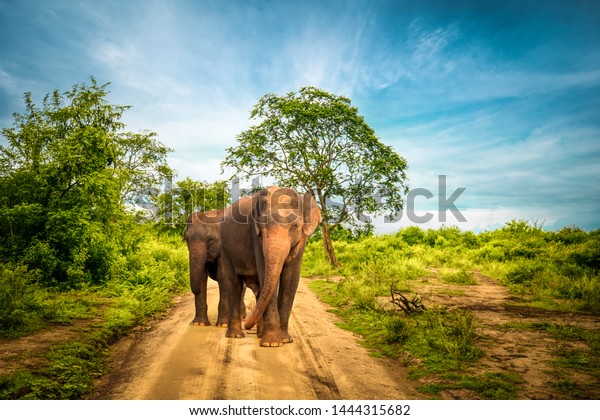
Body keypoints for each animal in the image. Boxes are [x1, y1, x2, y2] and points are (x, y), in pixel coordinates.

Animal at [220, 187, 322, 348]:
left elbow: (291, 277)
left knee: (258, 290)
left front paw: (285, 339)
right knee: (234, 284)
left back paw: (259, 334)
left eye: (294, 226)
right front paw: (272, 343)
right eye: (263, 227)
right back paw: (236, 335)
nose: (246, 324)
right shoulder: (256, 236)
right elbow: (265, 273)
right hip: (225, 249)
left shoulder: (302, 239)